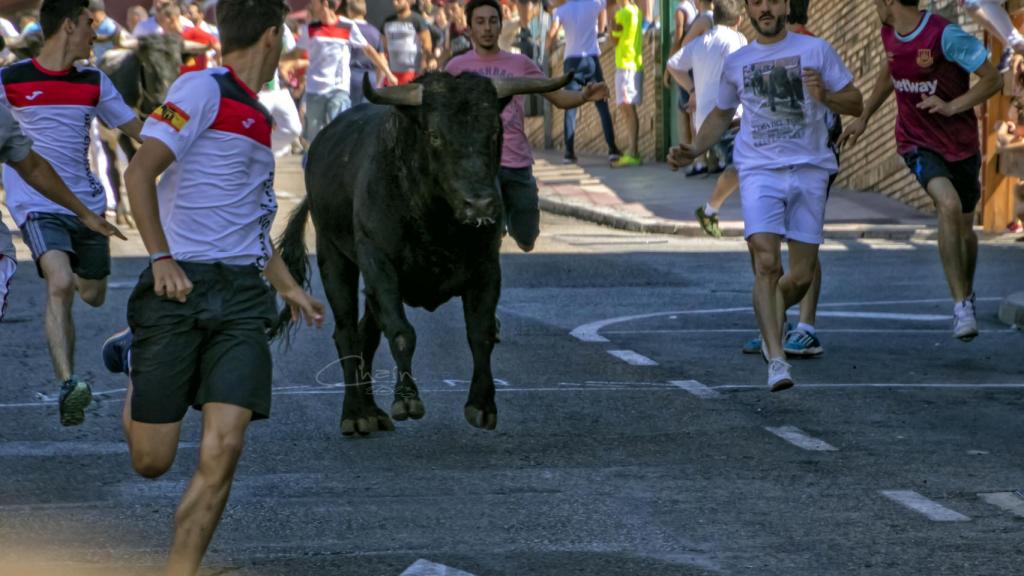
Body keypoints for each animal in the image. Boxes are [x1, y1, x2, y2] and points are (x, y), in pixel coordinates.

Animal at [272, 70, 573, 434]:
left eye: (494, 132)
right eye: (434, 135)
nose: (479, 204)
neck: (437, 221)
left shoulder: (487, 268)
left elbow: (481, 333)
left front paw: (482, 405)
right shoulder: (379, 264)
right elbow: (402, 333)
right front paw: (406, 400)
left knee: (366, 333)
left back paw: (372, 411)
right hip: (334, 256)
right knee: (346, 332)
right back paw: (356, 414)